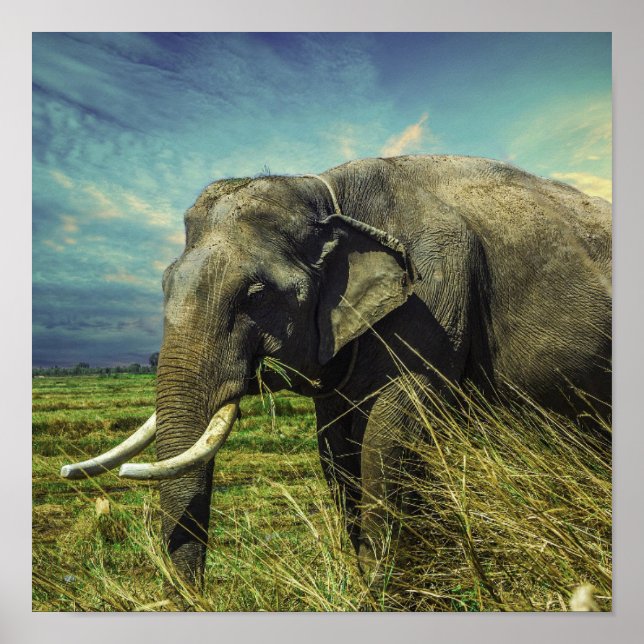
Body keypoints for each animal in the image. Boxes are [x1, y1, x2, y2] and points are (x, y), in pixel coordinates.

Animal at [61, 155, 612, 598]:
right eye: (163, 284)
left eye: (255, 294)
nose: (196, 600)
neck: (324, 191)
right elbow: (334, 448)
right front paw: (373, 580)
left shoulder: (434, 296)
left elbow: (388, 439)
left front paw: (389, 591)